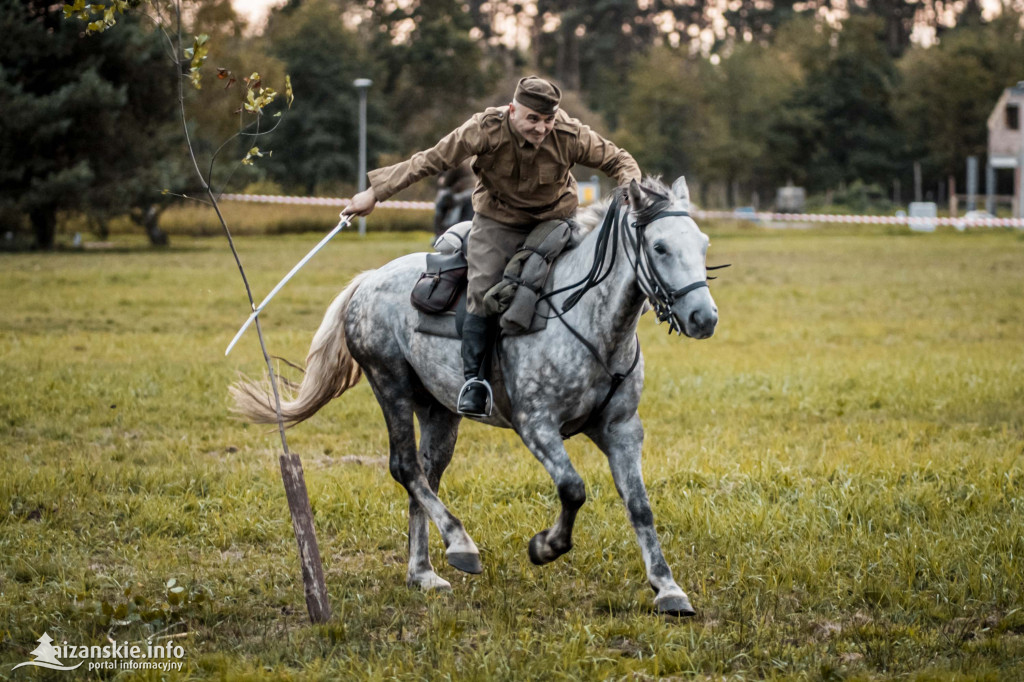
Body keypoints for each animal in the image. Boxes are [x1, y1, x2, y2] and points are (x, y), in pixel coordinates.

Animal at [235, 175, 724, 614]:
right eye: (660, 248)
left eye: (703, 245)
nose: (703, 318)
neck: (589, 320)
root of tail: (369, 279)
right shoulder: (536, 425)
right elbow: (573, 489)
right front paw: (545, 547)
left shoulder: (622, 431)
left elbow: (640, 507)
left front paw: (668, 588)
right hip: (390, 384)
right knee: (405, 468)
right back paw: (459, 543)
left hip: (439, 412)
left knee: (425, 477)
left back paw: (423, 572)